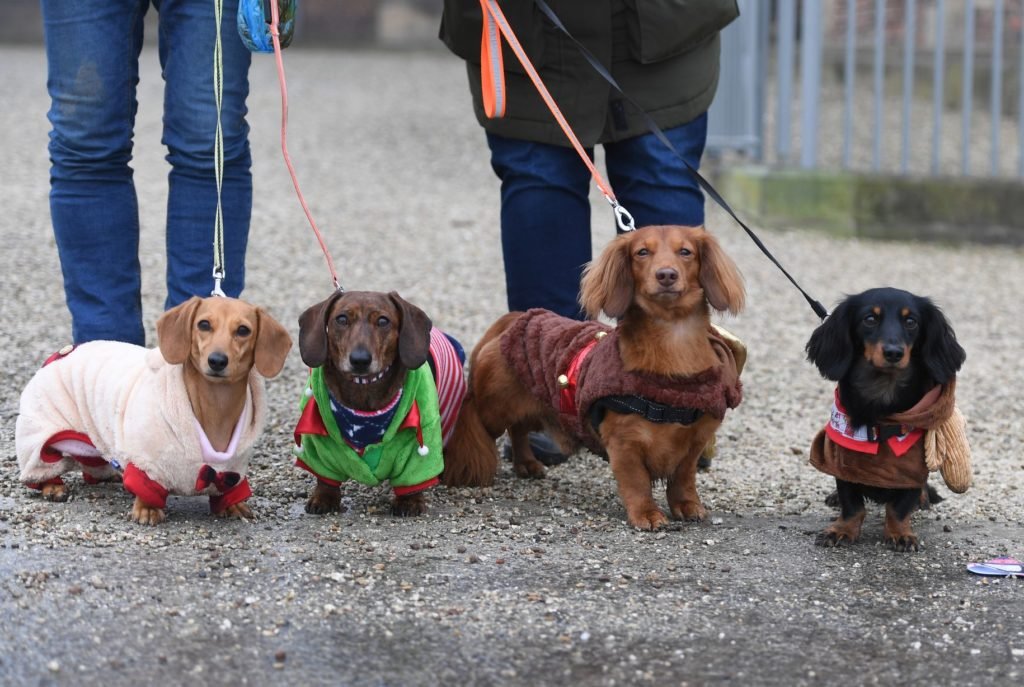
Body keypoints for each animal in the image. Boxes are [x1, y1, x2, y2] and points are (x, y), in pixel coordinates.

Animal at [14, 296, 292, 528]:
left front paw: (233, 505)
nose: (217, 360)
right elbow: (148, 488)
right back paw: (52, 487)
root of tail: (63, 352)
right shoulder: (148, 461)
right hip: (42, 429)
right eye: (203, 324)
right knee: (41, 463)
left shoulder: (233, 468)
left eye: (243, 330)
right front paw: (146, 510)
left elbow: (230, 488)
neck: (214, 409)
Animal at [294, 292, 466, 518]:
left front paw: (409, 502)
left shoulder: (420, 440)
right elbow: (325, 476)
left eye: (383, 321)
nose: (360, 360)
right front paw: (324, 497)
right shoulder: (320, 441)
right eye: (341, 319)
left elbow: (413, 478)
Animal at [440, 227, 745, 532]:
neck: (673, 347)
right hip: (495, 408)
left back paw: (526, 463)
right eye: (641, 252)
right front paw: (646, 514)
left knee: (518, 429)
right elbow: (637, 483)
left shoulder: (693, 443)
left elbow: (683, 478)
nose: (666, 275)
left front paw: (687, 506)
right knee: (480, 420)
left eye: (685, 252)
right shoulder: (624, 444)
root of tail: (515, 318)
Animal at [802, 288, 962, 552]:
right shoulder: (843, 460)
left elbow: (899, 507)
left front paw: (900, 534)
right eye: (870, 318)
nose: (894, 353)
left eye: (911, 322)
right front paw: (841, 530)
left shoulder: (912, 470)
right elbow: (852, 503)